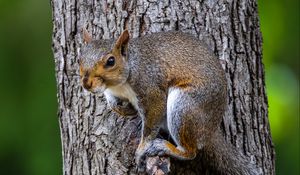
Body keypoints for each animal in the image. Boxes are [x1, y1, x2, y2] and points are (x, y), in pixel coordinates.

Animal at [79, 29, 260, 174]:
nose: (86, 84)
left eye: (111, 61)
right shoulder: (112, 92)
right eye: (79, 59)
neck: (118, 85)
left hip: (185, 107)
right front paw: (124, 109)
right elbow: (113, 103)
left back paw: (167, 148)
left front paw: (142, 149)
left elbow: (151, 121)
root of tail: (211, 130)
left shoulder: (150, 89)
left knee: (191, 152)